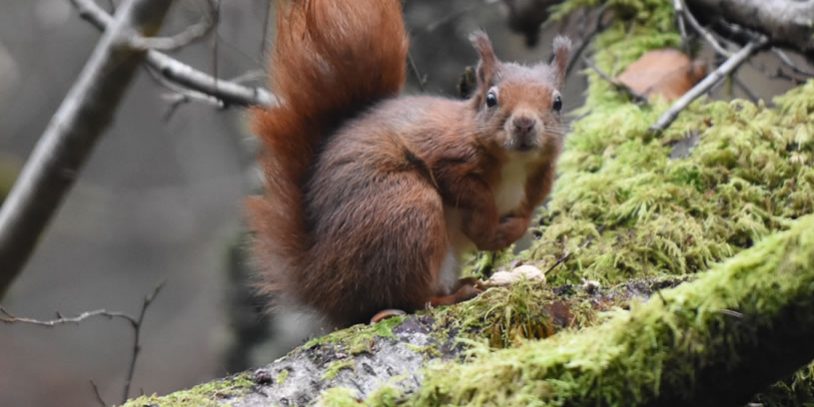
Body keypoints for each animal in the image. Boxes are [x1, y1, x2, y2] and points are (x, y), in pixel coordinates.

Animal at [249, 0, 571, 327]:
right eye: (491, 99)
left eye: (558, 102)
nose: (524, 124)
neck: (514, 164)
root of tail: (318, 279)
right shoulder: (445, 153)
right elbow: (470, 191)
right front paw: (484, 228)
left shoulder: (538, 185)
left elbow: (526, 215)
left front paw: (509, 232)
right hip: (406, 209)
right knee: (411, 299)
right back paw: (454, 295)